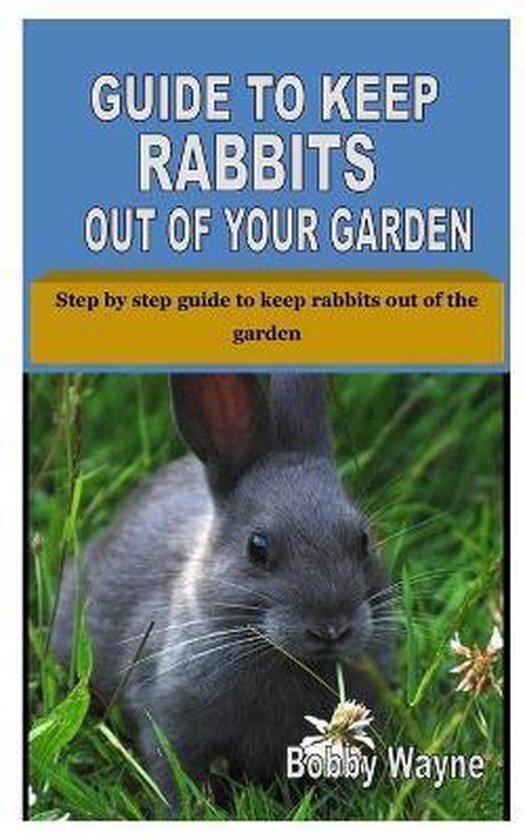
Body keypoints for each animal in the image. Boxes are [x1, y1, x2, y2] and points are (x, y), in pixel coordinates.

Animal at [51, 374, 393, 800]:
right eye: (257, 548)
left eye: (363, 540)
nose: (331, 628)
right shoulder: (173, 728)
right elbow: (175, 776)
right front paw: (181, 809)